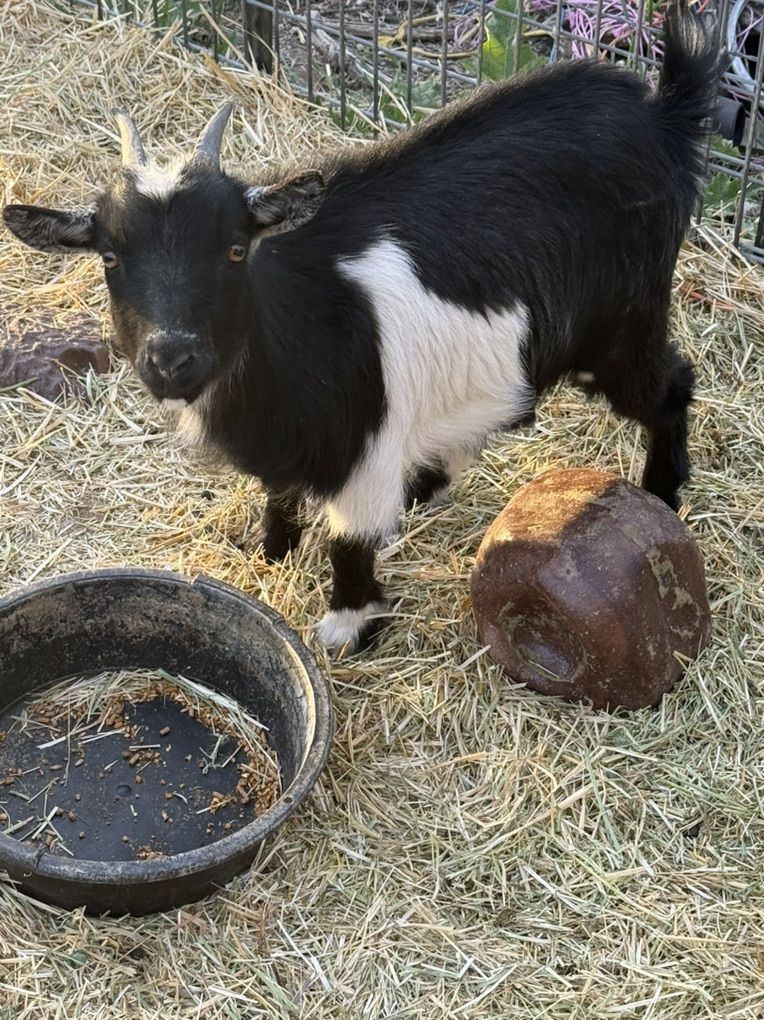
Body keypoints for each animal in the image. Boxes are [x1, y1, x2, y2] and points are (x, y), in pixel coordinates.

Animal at [3, 3, 720, 652]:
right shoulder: (292, 439)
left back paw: (662, 493)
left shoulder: (364, 446)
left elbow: (348, 542)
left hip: (620, 325)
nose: (172, 359)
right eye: (109, 256)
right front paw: (271, 551)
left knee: (671, 386)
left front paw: (349, 626)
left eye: (235, 249)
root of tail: (662, 114)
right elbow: (278, 494)